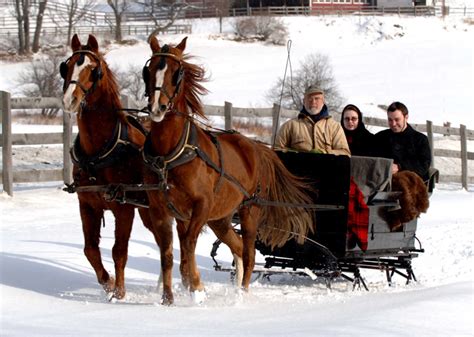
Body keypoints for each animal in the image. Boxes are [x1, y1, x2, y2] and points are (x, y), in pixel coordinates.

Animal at [61, 34, 168, 300]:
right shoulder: (87, 205)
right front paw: (107, 282)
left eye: (93, 70)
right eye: (66, 66)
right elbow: (90, 249)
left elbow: (119, 250)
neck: (98, 153)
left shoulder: (124, 208)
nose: (69, 99)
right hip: (148, 211)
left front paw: (119, 292)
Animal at [143, 35, 316, 304]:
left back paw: (242, 294)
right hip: (221, 219)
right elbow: (168, 254)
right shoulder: (161, 210)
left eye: (176, 73)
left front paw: (197, 288)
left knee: (249, 252)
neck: (171, 154)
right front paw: (168, 298)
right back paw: (236, 288)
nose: (157, 108)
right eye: (149, 70)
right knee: (238, 247)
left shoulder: (201, 207)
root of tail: (255, 146)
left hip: (249, 211)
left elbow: (189, 244)